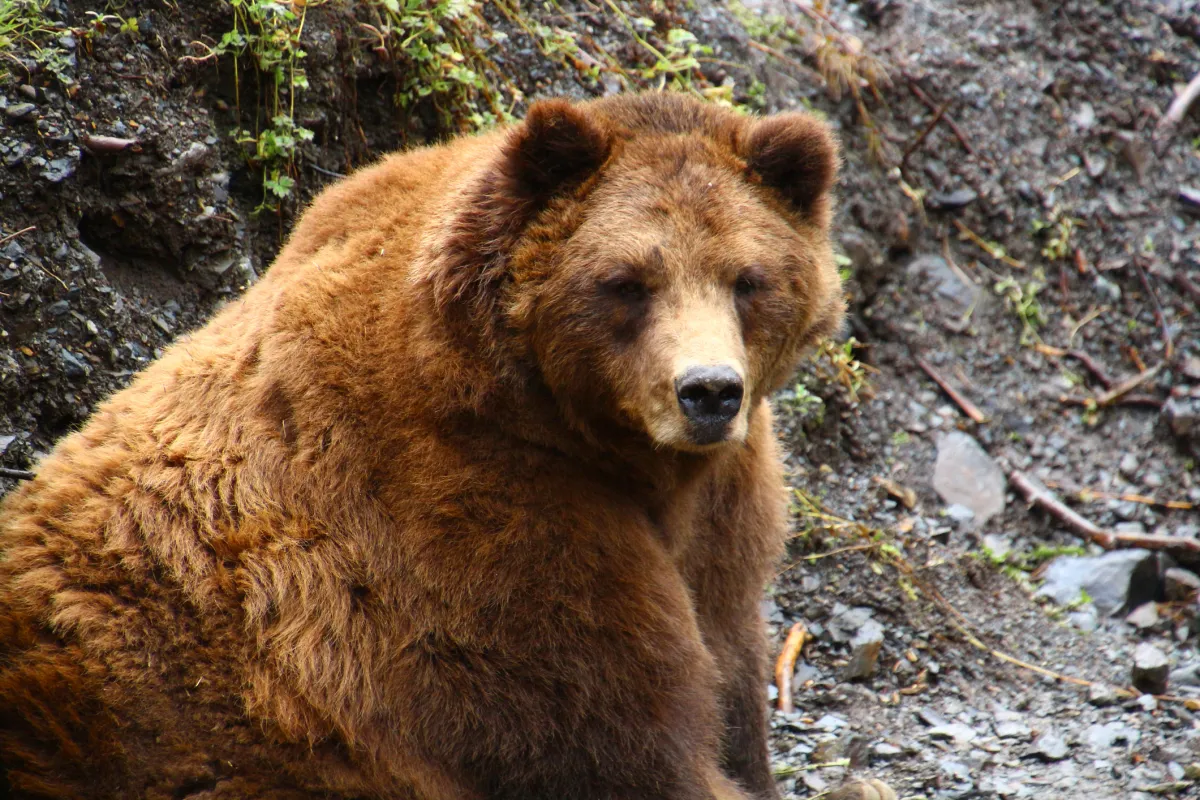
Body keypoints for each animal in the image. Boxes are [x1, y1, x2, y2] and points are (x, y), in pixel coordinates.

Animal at [0, 92, 888, 800]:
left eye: (747, 279)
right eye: (627, 281)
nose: (708, 391)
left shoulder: (722, 516)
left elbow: (731, 667)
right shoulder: (475, 526)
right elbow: (618, 730)